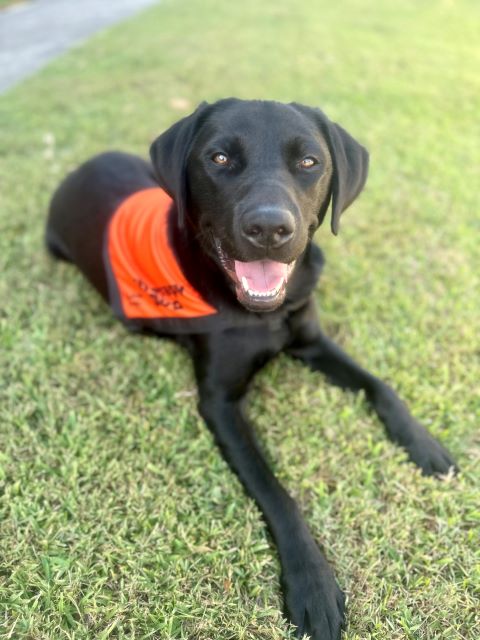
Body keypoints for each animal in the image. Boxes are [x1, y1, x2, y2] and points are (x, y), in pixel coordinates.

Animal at [46, 97, 458, 636]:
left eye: (309, 161)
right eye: (219, 158)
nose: (268, 229)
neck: (265, 314)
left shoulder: (312, 341)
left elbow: (380, 387)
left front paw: (425, 444)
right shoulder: (220, 403)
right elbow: (277, 491)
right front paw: (313, 585)